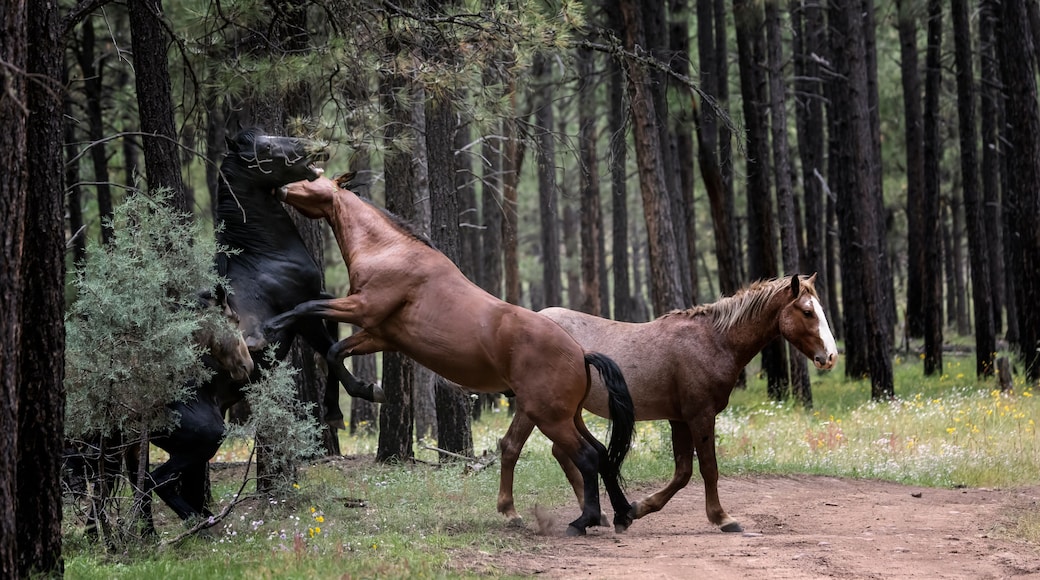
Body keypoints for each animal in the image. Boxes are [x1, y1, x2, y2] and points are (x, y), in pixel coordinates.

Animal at [263, 176, 637, 536]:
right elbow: (332, 353)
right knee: (600, 453)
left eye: (312, 177)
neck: (388, 250)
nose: (280, 189)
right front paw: (346, 403)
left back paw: (582, 520)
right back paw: (620, 514)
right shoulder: (379, 334)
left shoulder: (362, 308)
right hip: (565, 415)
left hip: (549, 417)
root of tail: (581, 354)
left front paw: (271, 326)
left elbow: (307, 309)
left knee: (585, 457)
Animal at [497, 275, 839, 533]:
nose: (831, 357)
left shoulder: (680, 420)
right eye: (807, 312)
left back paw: (596, 514)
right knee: (512, 446)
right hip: (536, 409)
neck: (713, 341)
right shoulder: (700, 416)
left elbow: (683, 473)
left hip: (566, 410)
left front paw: (636, 509)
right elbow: (708, 469)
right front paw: (722, 518)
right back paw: (511, 513)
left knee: (565, 453)